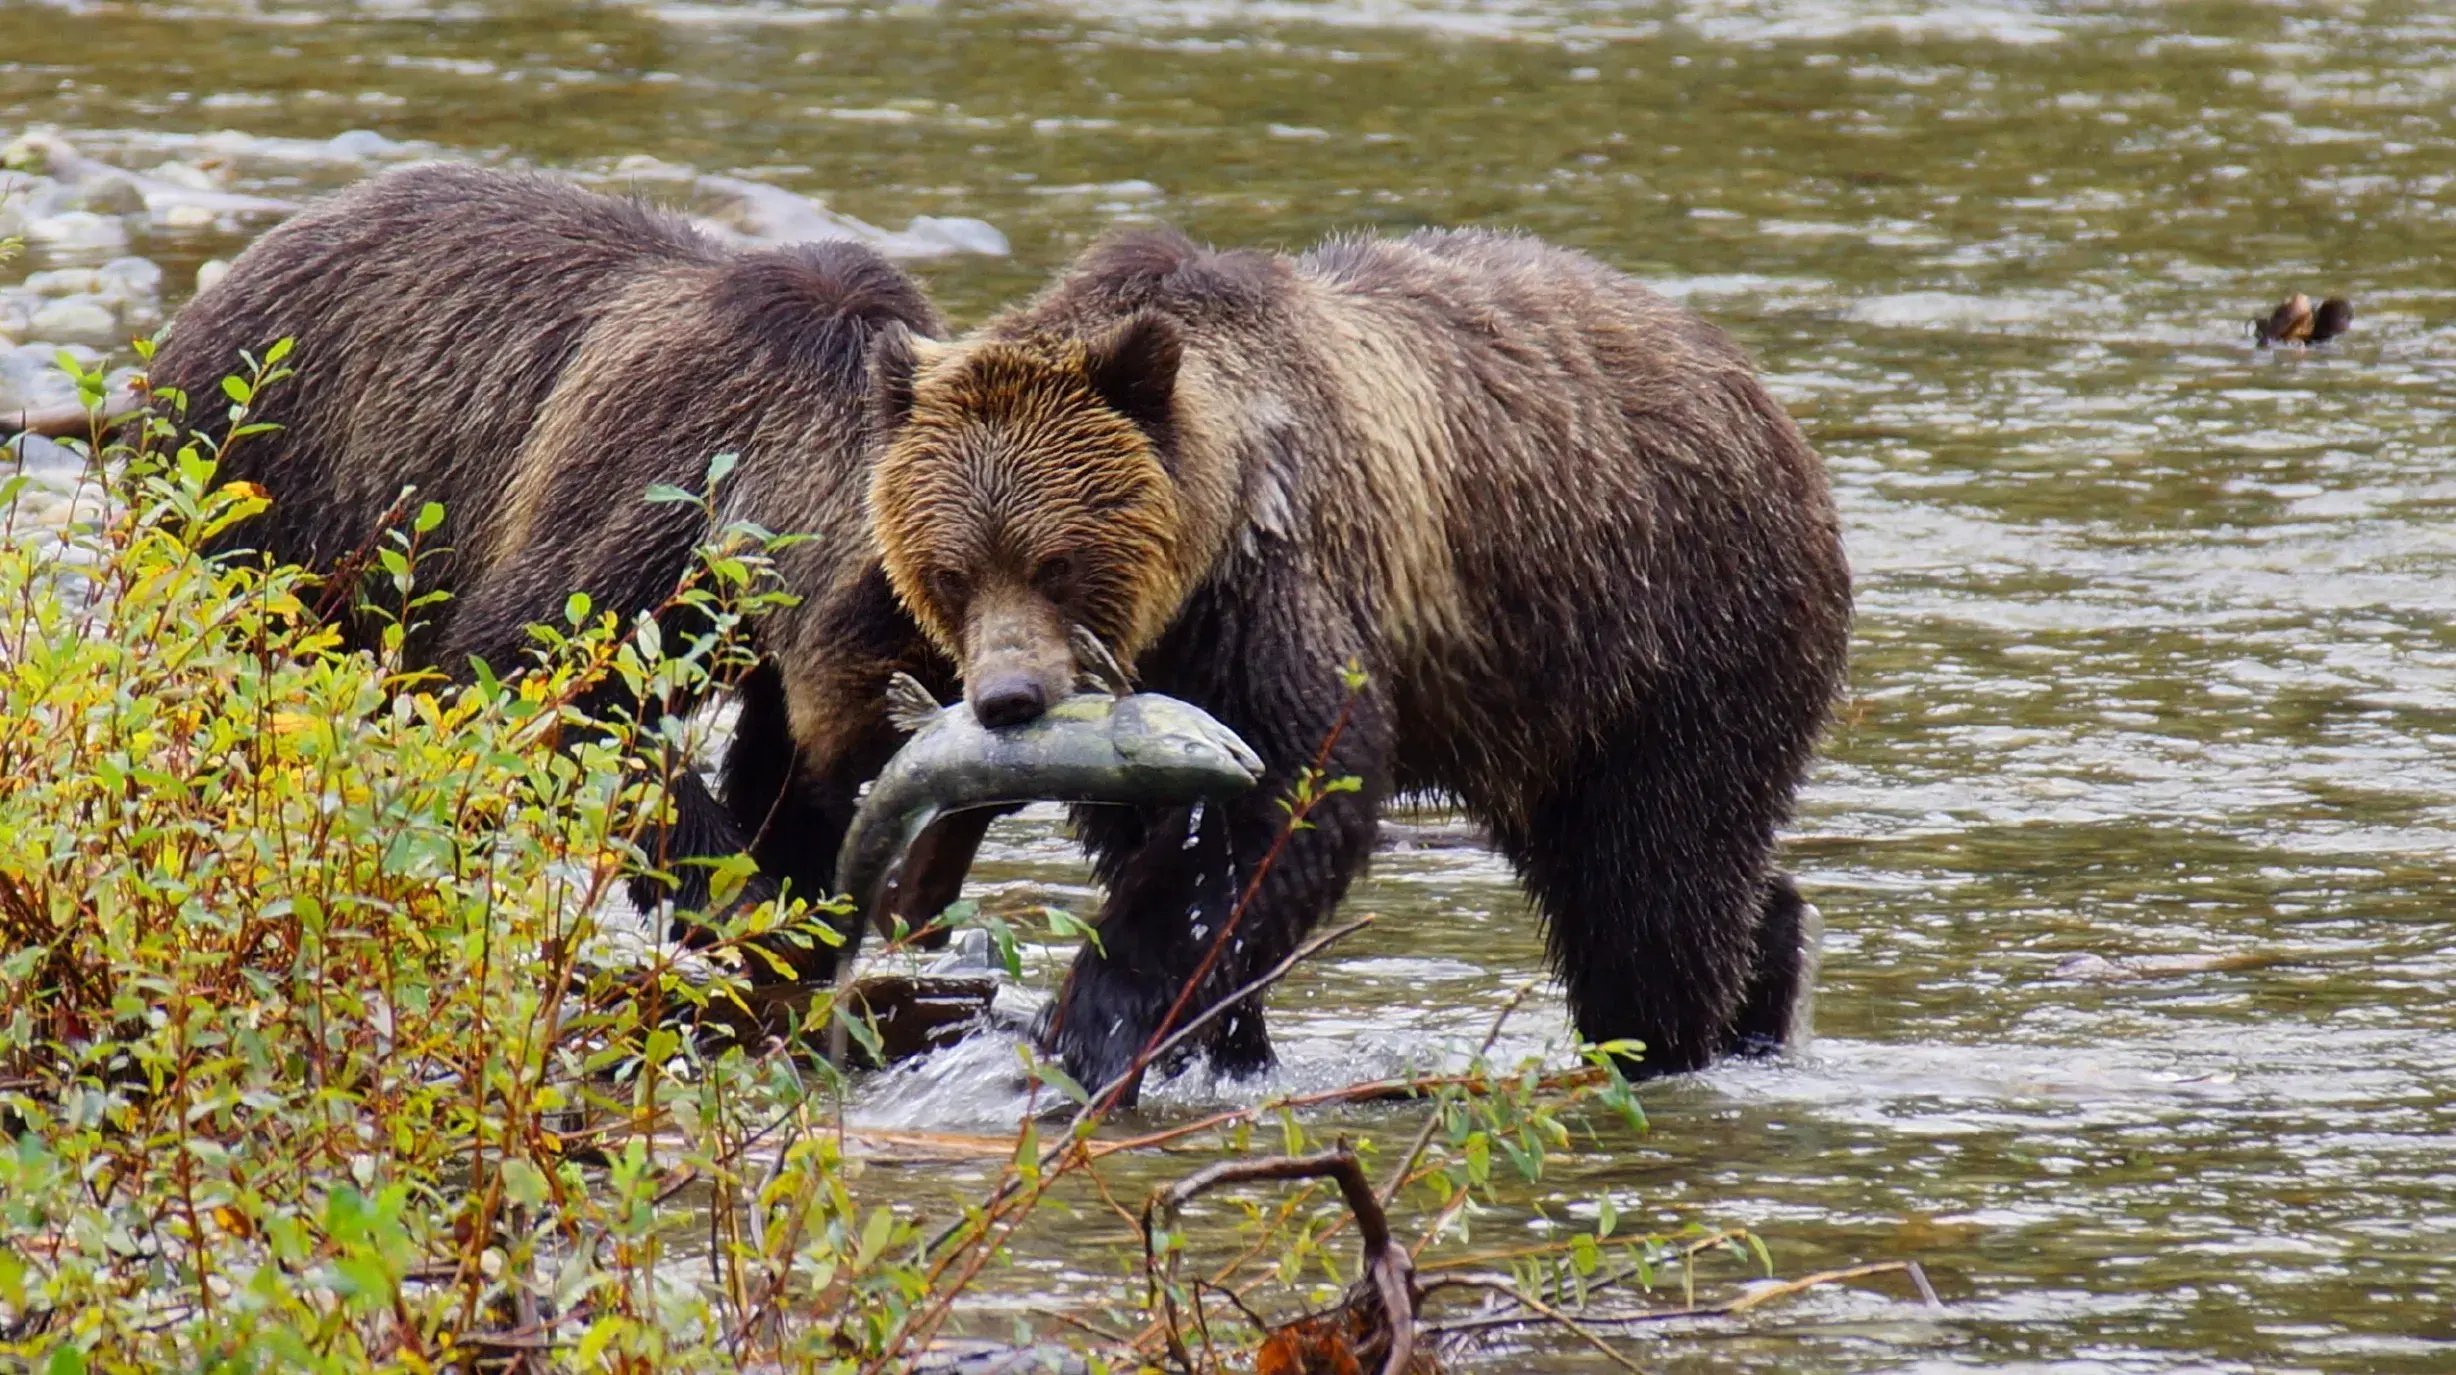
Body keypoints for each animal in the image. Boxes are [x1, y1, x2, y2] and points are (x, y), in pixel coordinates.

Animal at [146, 163, 977, 957]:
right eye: (903, 737)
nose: (923, 905)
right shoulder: (654, 492)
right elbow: (544, 674)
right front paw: (733, 893)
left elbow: (774, 759)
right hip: (269, 498)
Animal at [874, 230, 1846, 1100]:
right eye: (952, 570)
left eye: (1057, 562)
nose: (1008, 697)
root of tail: (1764, 398)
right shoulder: (1165, 678)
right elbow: (1148, 832)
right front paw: (1223, 1040)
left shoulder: (1281, 585)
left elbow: (1290, 792)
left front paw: (1092, 1024)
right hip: (1542, 702)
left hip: (1677, 627)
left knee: (1653, 878)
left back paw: (1665, 1041)